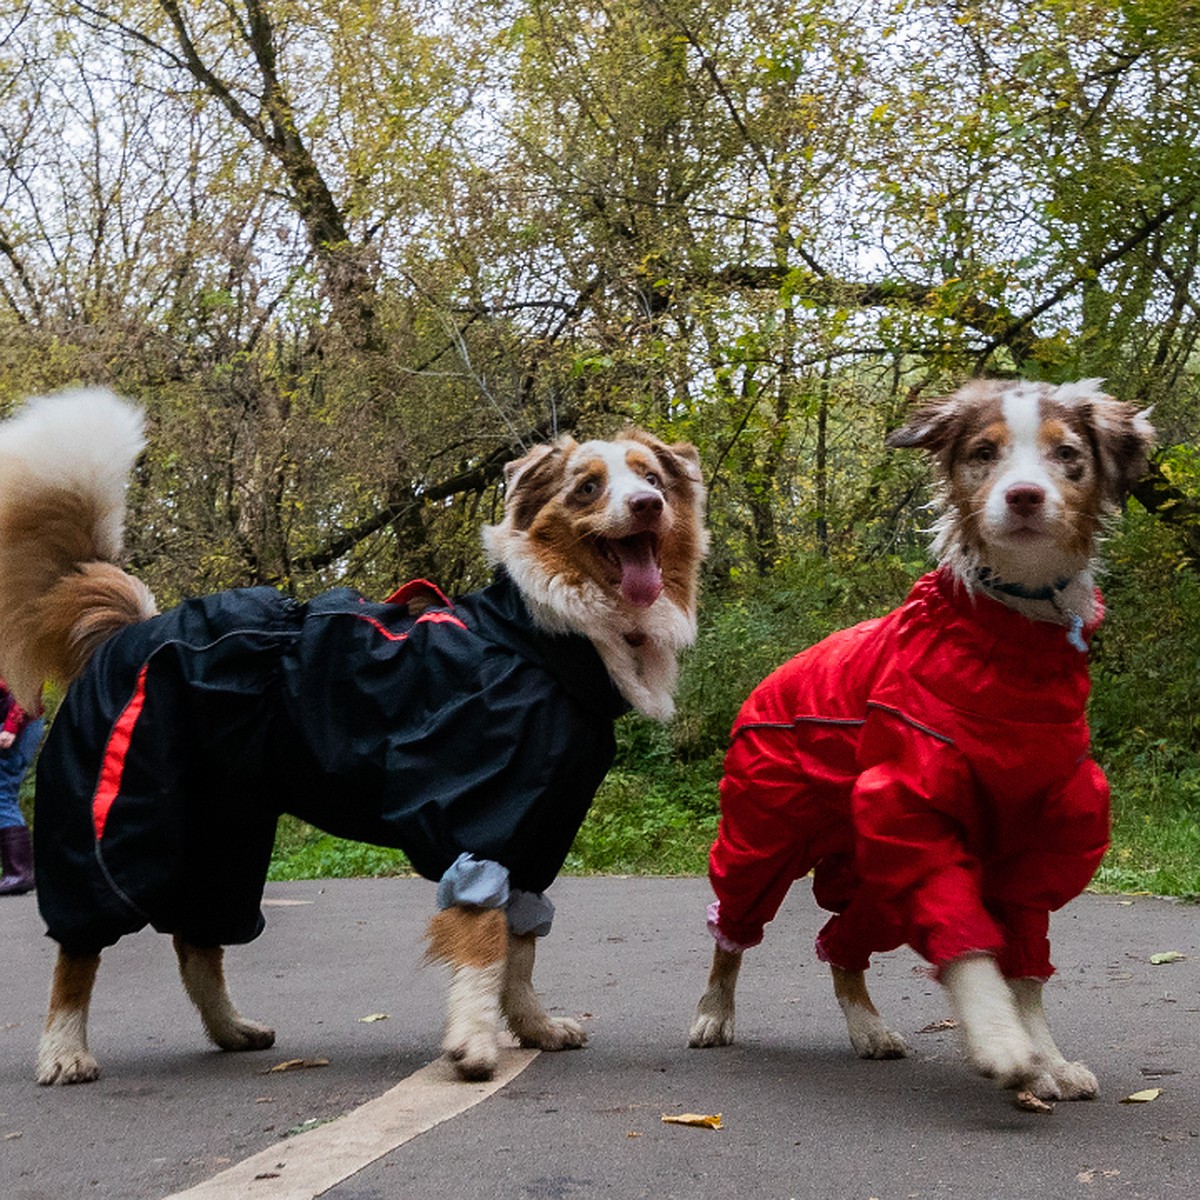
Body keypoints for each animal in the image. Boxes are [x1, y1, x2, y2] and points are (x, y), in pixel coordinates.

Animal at [0, 388, 700, 1084]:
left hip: (223, 832)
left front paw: (532, 1026)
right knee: (80, 944)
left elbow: (521, 947)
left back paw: (231, 1030)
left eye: (653, 478)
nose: (647, 505)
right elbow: (484, 942)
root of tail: (127, 630)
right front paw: (473, 1043)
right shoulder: (478, 816)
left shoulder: (538, 828)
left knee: (198, 938)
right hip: (119, 825)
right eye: (587, 487)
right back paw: (64, 1050)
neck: (540, 633)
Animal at [696, 376, 1152, 1104]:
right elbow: (967, 943)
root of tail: (776, 674)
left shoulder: (1046, 835)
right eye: (984, 452)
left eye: (1069, 455)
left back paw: (867, 1028)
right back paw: (715, 1012)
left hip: (866, 875)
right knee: (732, 926)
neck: (1010, 650)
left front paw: (1047, 1057)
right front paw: (1001, 1043)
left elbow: (1026, 966)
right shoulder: (907, 807)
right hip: (762, 831)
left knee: (840, 942)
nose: (1024, 496)